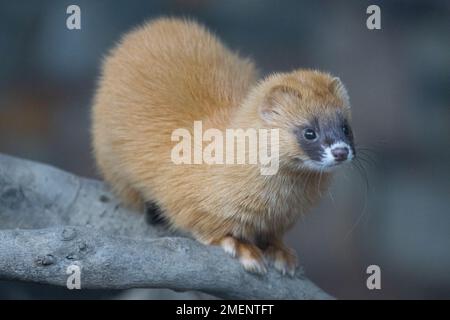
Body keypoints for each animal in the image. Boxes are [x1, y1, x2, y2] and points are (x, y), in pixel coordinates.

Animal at [91, 18, 356, 276]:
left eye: (345, 126)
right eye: (309, 131)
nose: (341, 151)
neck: (277, 204)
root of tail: (155, 25)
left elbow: (274, 236)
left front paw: (281, 252)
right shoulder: (184, 191)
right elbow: (202, 223)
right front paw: (241, 248)